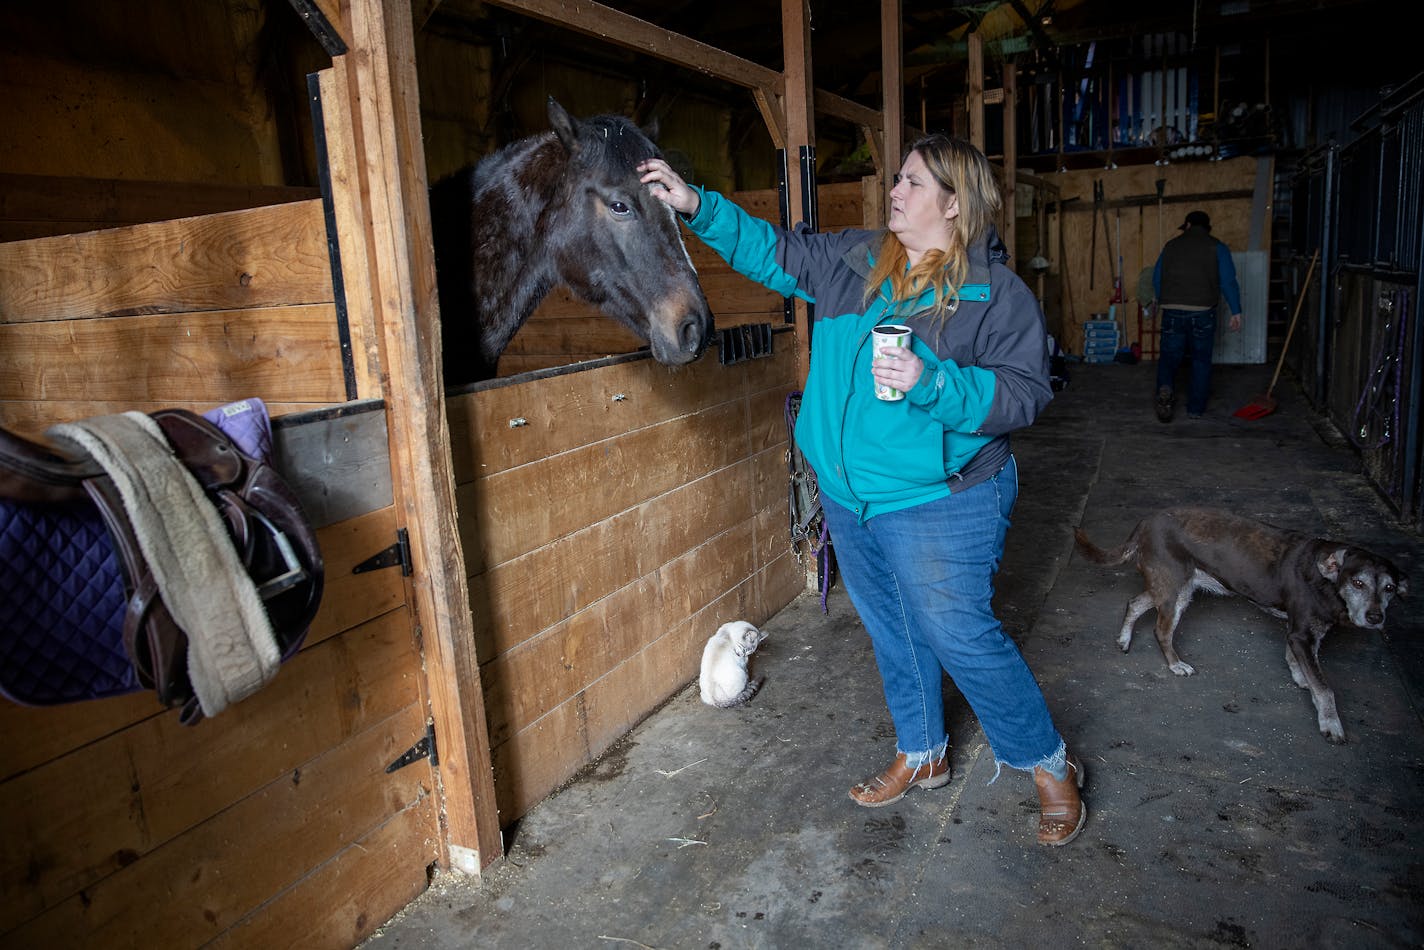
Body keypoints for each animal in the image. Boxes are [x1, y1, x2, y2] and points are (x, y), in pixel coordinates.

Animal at [1076, 504, 1401, 740]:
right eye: (1358, 582)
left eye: (1390, 588)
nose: (1376, 617)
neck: (1327, 578)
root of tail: (1145, 523)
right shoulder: (1302, 634)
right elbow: (1325, 688)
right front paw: (1331, 724)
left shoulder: (1301, 633)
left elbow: (1297, 661)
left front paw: (1301, 678)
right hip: (1172, 591)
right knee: (1161, 630)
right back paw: (1175, 664)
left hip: (1174, 589)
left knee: (1135, 603)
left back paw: (1124, 640)